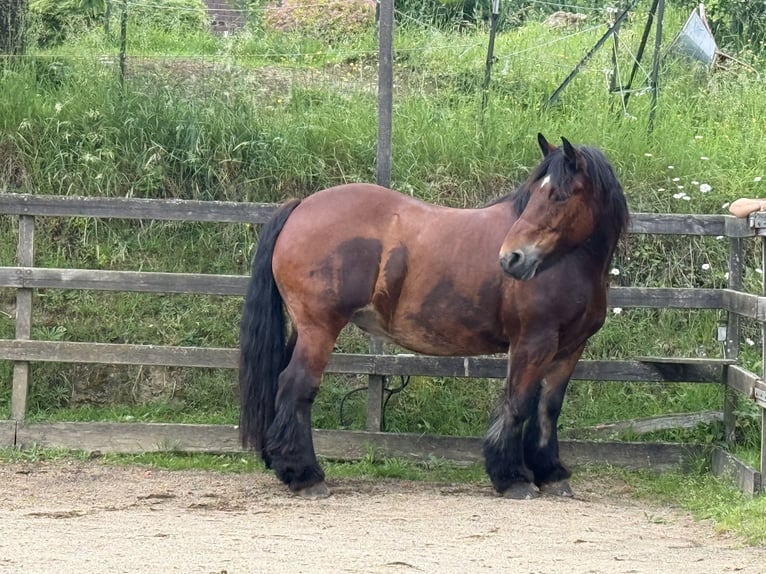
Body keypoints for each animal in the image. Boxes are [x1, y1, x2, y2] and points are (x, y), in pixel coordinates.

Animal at [239, 133, 629, 499]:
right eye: (533, 194)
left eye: (559, 196)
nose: (511, 258)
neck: (566, 262)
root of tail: (301, 206)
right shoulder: (533, 342)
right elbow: (518, 404)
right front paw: (513, 478)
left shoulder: (570, 348)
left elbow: (548, 409)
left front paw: (551, 474)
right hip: (319, 329)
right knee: (297, 387)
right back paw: (306, 476)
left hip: (303, 329)